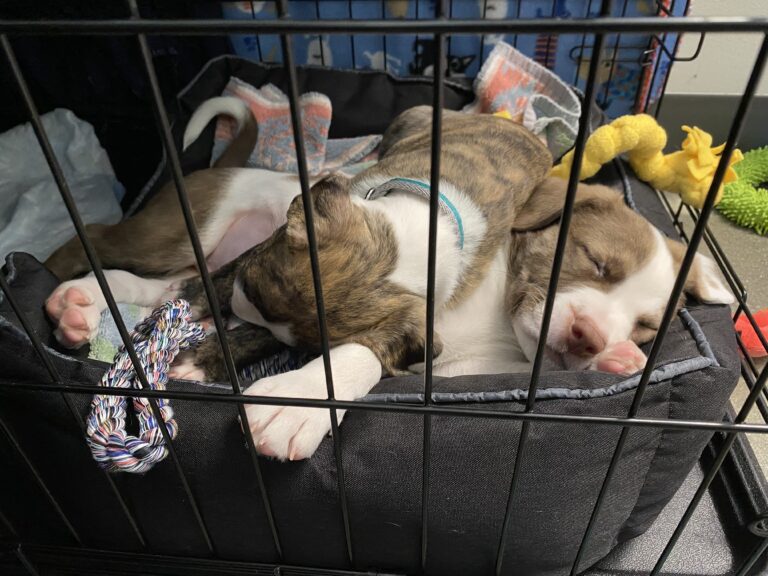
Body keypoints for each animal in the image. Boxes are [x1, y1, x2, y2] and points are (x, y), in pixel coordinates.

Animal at [42, 98, 732, 460]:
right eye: (592, 261)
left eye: (646, 330)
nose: (593, 335)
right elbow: (220, 302)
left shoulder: (435, 354)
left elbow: (359, 349)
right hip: (192, 231)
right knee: (119, 248)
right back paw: (64, 283)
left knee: (167, 283)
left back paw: (83, 306)